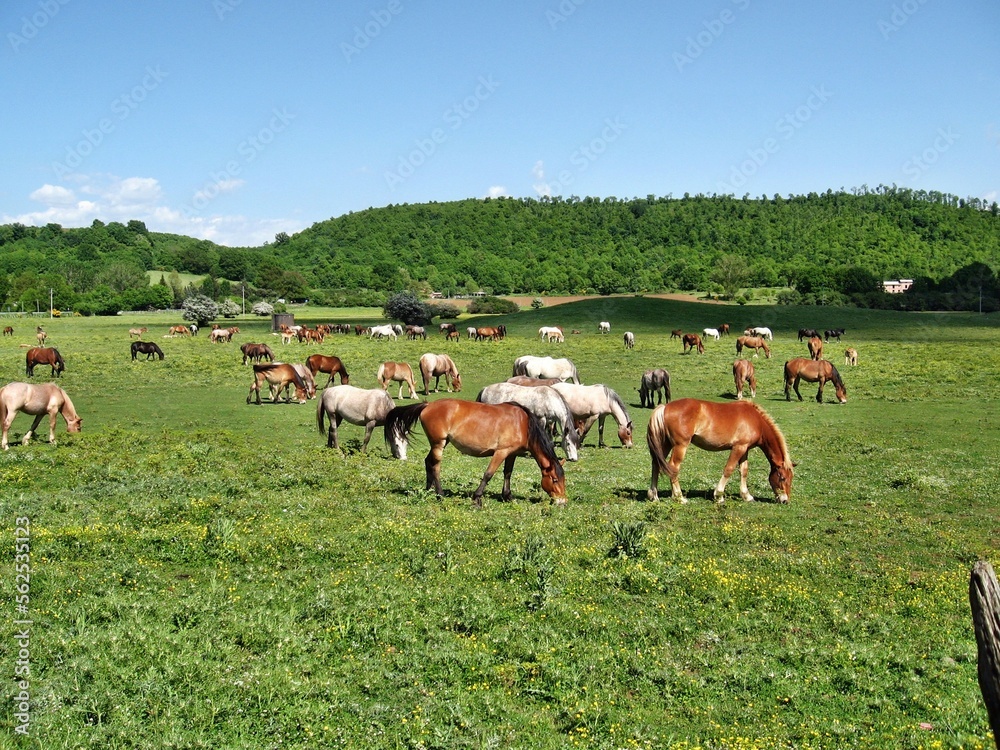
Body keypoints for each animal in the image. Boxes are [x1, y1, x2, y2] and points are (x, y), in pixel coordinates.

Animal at [384, 400, 567, 507]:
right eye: (554, 479)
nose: (562, 501)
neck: (522, 423)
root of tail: (427, 405)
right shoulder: (501, 452)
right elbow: (488, 474)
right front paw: (477, 498)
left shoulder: (511, 454)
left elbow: (507, 473)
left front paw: (507, 496)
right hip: (438, 444)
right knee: (435, 466)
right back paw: (440, 494)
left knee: (428, 462)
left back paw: (428, 490)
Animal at [646, 398, 795, 504]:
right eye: (782, 477)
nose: (785, 500)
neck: (756, 420)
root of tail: (665, 407)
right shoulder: (738, 448)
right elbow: (729, 469)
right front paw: (719, 496)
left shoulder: (744, 449)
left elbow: (744, 471)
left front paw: (746, 496)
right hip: (680, 446)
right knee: (673, 467)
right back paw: (679, 497)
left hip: (665, 444)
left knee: (656, 464)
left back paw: (654, 496)